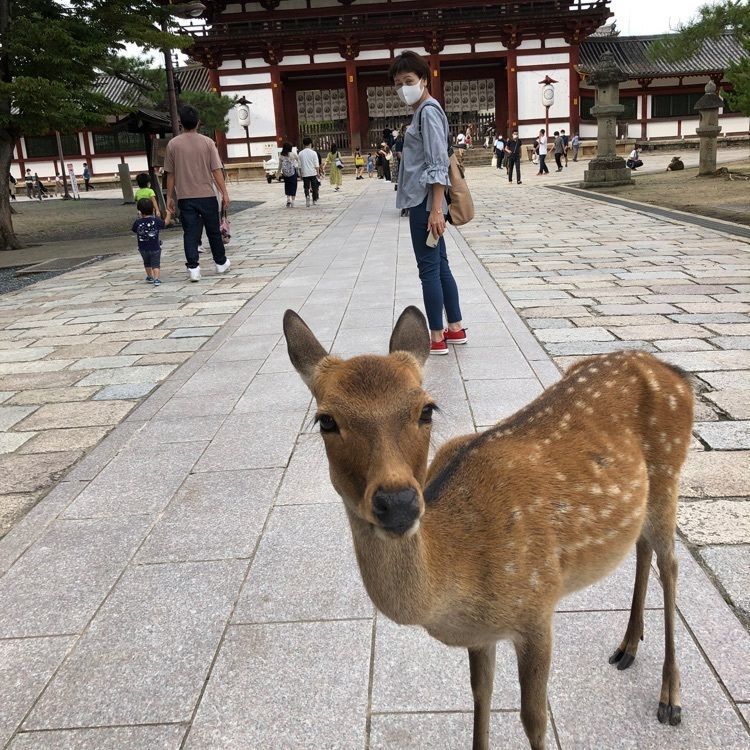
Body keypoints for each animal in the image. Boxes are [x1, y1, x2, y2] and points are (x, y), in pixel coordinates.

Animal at [283, 305, 694, 750]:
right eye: (326, 420)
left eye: (427, 409)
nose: (398, 502)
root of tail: (674, 372)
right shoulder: (481, 635)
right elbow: (481, 696)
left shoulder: (537, 605)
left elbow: (534, 719)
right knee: (642, 547)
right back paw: (628, 646)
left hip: (670, 473)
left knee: (671, 565)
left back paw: (670, 698)